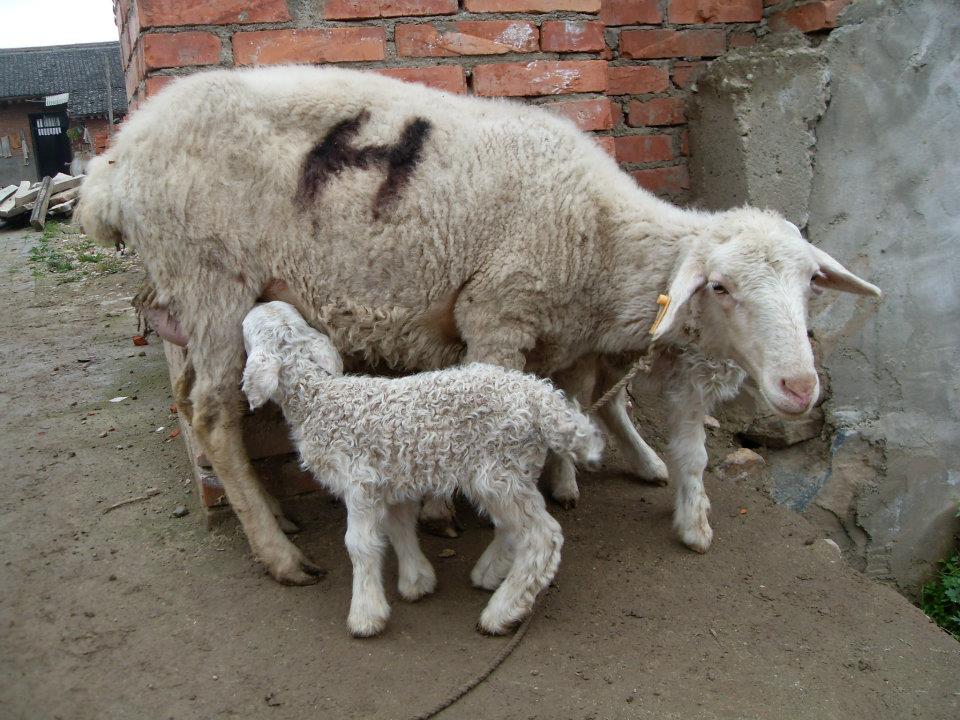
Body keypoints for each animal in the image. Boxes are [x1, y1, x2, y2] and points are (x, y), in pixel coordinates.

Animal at [79, 65, 880, 583]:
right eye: (720, 287)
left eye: (810, 284)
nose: (800, 387)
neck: (600, 234)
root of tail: (113, 166)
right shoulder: (499, 312)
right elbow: (492, 407)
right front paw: (470, 515)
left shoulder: (565, 333)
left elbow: (575, 396)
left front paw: (560, 479)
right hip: (210, 278)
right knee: (214, 416)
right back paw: (280, 556)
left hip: (186, 295)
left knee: (190, 403)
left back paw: (275, 513)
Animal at [241, 300, 602, 636]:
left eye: (248, 328)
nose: (259, 301)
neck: (319, 399)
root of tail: (543, 400)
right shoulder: (391, 478)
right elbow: (399, 527)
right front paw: (417, 582)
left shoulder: (361, 482)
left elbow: (359, 545)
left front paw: (366, 616)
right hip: (511, 472)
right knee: (513, 527)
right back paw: (490, 574)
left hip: (499, 470)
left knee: (543, 537)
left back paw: (502, 612)